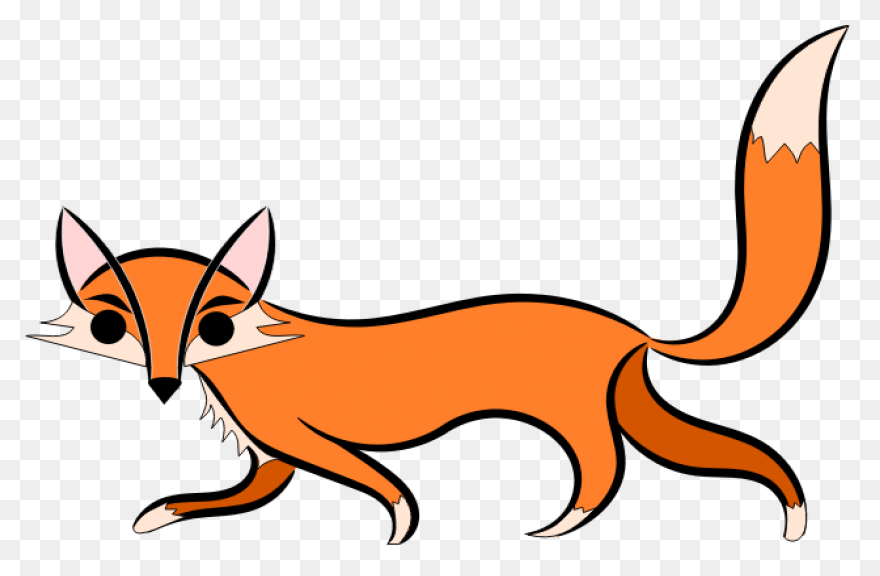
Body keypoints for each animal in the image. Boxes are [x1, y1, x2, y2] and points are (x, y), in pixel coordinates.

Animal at [31, 27, 847, 544]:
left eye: (214, 326)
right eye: (111, 328)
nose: (163, 385)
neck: (250, 354)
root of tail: (631, 332)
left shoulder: (298, 435)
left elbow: (377, 482)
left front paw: (400, 524)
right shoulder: (272, 455)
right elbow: (235, 495)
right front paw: (162, 514)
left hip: (580, 418)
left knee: (606, 471)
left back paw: (562, 526)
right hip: (635, 408)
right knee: (738, 455)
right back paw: (793, 516)